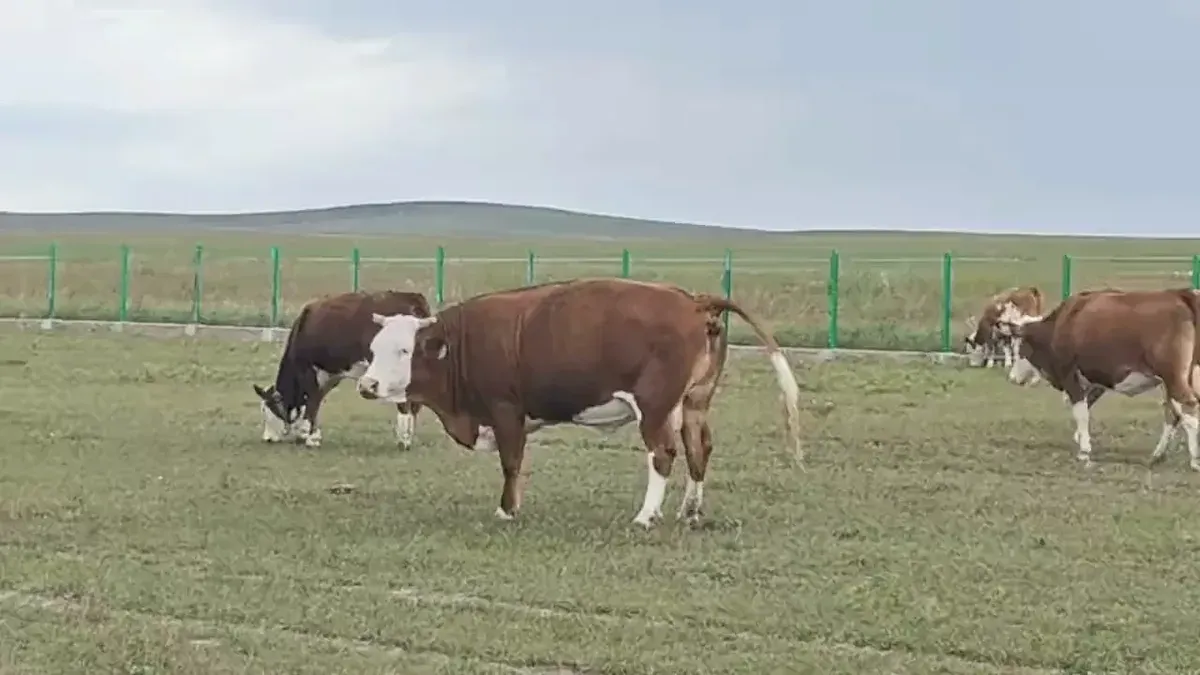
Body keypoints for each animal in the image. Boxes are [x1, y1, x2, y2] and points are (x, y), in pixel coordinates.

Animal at [252, 289, 431, 450]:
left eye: (266, 409)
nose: (267, 438)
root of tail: (411, 298)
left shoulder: (309, 370)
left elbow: (313, 400)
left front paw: (307, 436)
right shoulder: (331, 374)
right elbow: (318, 398)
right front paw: (313, 435)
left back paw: (403, 440)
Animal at [353, 277, 803, 529]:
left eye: (403, 350)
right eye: (374, 348)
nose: (367, 384)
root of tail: (692, 300)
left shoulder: (505, 410)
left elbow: (511, 462)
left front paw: (507, 511)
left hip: (655, 406)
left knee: (663, 454)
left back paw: (646, 516)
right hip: (694, 402)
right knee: (699, 450)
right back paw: (690, 511)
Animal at [998, 288, 1200, 470]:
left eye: (1019, 348)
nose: (1012, 377)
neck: (1060, 325)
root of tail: (1180, 294)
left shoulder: (1071, 377)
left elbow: (1081, 413)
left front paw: (1084, 452)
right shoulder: (1096, 381)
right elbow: (1087, 407)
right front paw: (1080, 438)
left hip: (1174, 378)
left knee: (1188, 412)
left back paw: (1194, 461)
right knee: (1173, 414)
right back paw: (1157, 455)